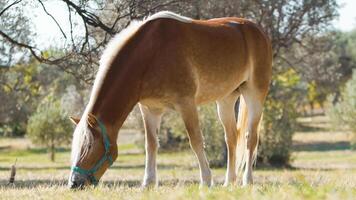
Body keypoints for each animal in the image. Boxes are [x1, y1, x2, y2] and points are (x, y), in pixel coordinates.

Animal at [67, 10, 272, 189]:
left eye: (89, 145)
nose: (74, 183)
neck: (150, 54)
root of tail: (258, 31)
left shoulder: (186, 104)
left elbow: (195, 141)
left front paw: (206, 181)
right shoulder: (150, 109)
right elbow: (151, 145)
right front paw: (148, 183)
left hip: (254, 94)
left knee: (251, 137)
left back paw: (247, 181)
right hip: (226, 100)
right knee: (231, 138)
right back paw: (229, 182)